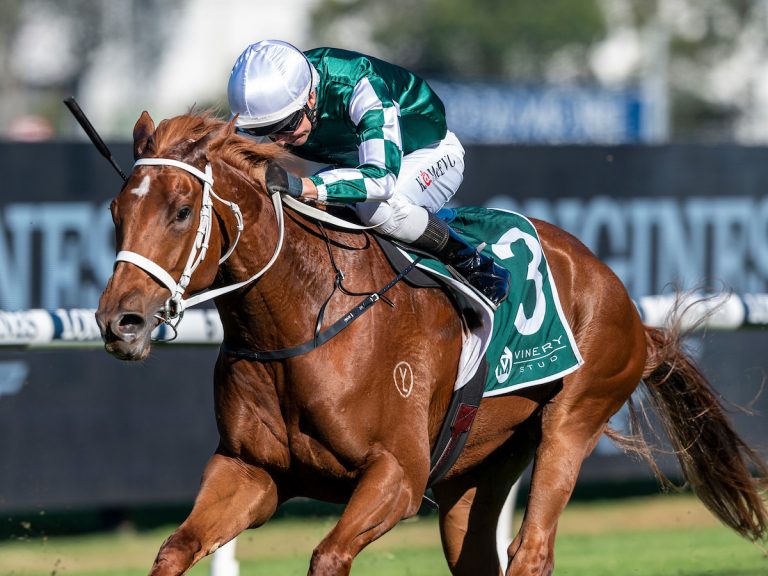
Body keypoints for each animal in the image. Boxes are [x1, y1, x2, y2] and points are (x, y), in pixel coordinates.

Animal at [96, 110, 768, 572]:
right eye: (115, 212)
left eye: (182, 210)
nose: (119, 321)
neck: (303, 323)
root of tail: (629, 307)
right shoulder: (251, 471)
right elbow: (175, 547)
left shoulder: (397, 474)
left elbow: (328, 554)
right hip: (476, 468)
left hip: (575, 417)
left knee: (531, 549)